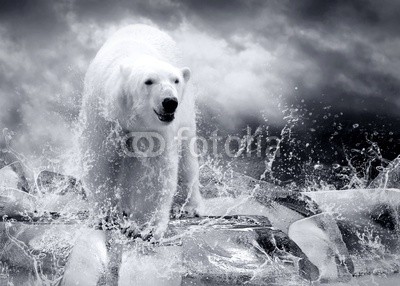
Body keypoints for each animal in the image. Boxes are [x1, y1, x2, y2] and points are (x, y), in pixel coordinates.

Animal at [78, 24, 203, 237]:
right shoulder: (103, 114)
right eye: (149, 81)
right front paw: (106, 217)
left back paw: (190, 206)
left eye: (176, 80)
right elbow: (100, 159)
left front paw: (145, 228)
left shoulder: (155, 128)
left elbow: (155, 169)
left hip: (186, 112)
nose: (170, 102)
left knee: (187, 157)